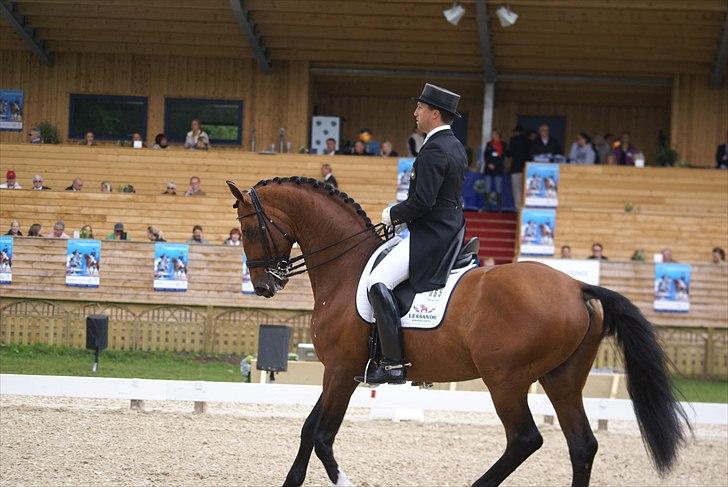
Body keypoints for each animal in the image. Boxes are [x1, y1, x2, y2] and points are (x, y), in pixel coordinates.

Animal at [226, 177, 688, 486]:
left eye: (248, 230)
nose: (264, 286)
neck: (346, 267)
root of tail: (577, 286)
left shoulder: (340, 370)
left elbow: (323, 435)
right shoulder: (339, 371)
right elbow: (309, 428)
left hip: (505, 379)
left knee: (524, 439)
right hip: (562, 378)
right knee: (582, 445)